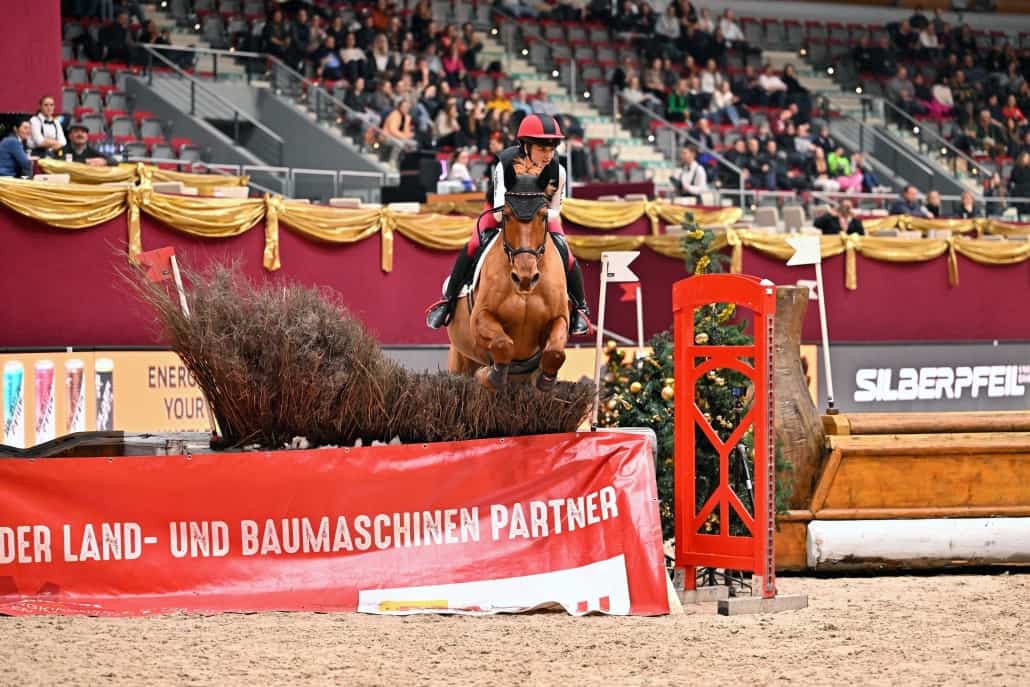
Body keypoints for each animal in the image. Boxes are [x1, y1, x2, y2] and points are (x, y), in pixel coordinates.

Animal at [446, 173, 569, 391]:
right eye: (506, 215)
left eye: (543, 216)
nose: (524, 277)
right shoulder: (480, 318)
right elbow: (503, 345)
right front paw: (491, 375)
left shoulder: (559, 319)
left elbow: (555, 353)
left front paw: (546, 381)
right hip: (460, 360)